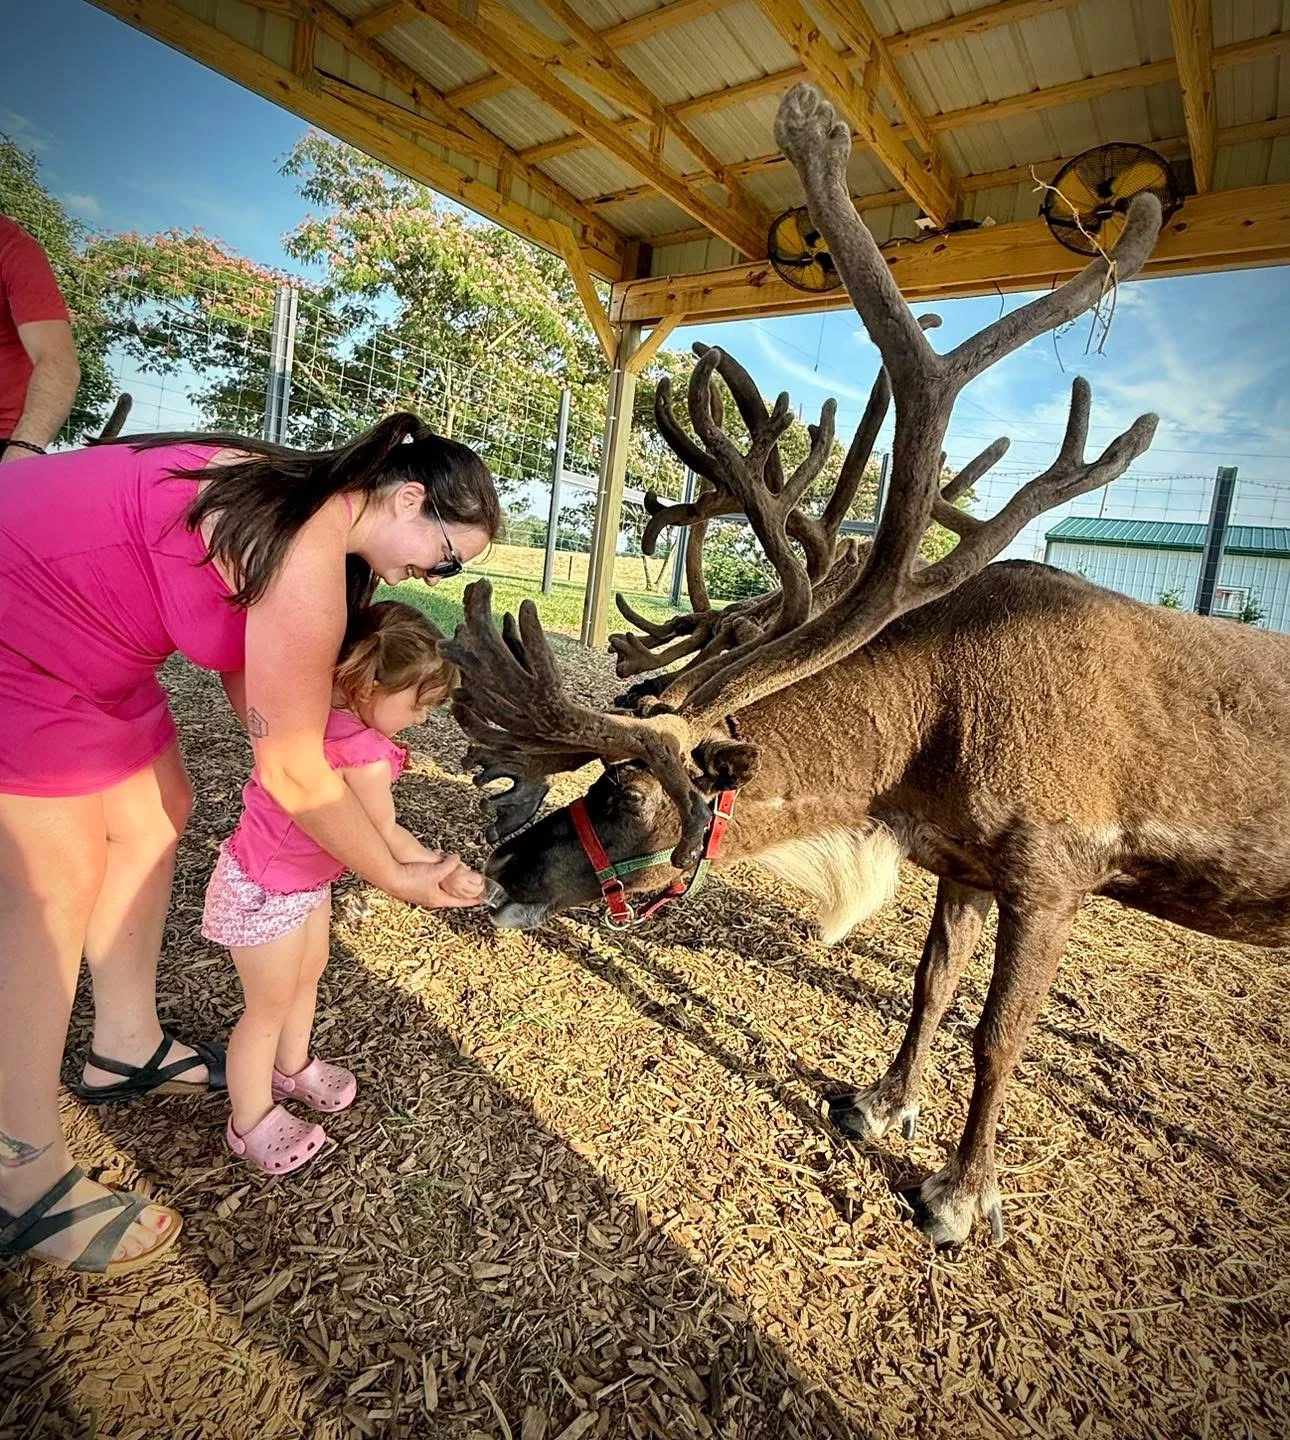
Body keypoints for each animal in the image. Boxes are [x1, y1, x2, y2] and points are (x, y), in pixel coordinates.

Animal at [443, 85, 1290, 1248]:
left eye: (624, 794)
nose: (498, 870)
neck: (926, 737)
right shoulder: (966, 864)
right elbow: (930, 991)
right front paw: (880, 1105)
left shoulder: (1054, 878)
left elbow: (997, 1035)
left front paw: (959, 1195)